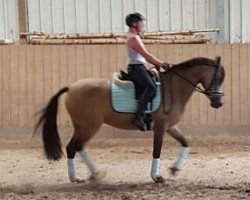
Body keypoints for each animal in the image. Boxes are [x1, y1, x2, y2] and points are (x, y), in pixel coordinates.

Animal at [34, 55, 225, 183]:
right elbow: (157, 151)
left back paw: (95, 174)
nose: (218, 102)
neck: (173, 88)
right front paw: (157, 176)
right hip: (89, 126)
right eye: (217, 77)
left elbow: (185, 142)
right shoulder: (160, 127)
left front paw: (174, 169)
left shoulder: (170, 126)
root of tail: (71, 87)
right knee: (72, 147)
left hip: (84, 127)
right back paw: (76, 178)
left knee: (78, 146)